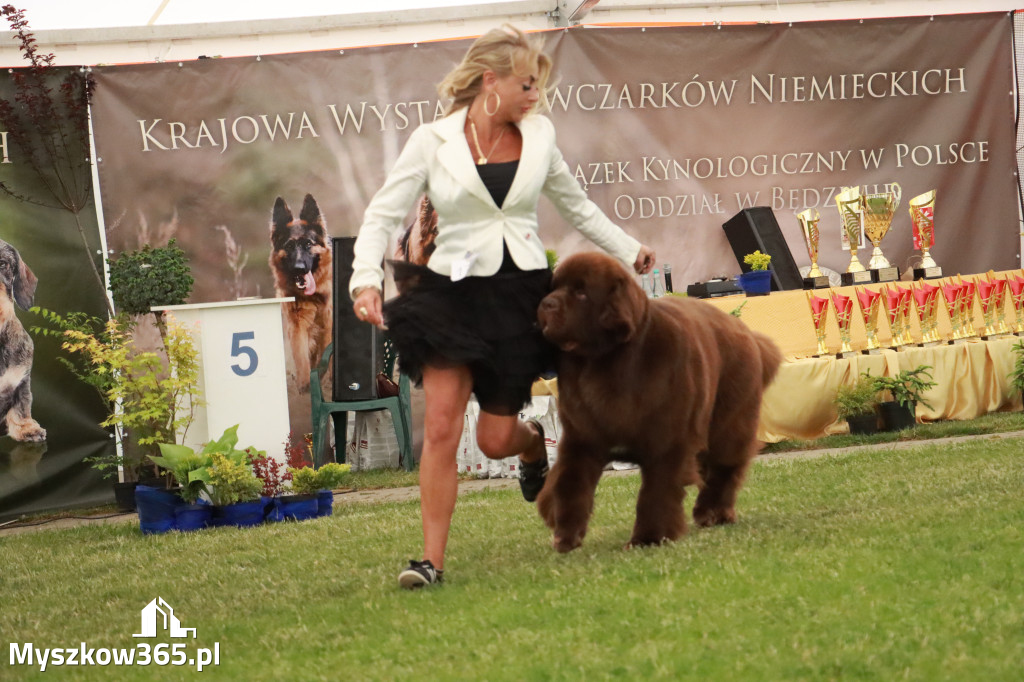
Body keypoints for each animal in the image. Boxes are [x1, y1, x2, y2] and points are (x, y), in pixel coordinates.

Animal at [536, 251, 782, 548]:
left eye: (581, 292)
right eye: (553, 288)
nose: (546, 304)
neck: (604, 363)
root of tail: (747, 333)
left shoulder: (668, 441)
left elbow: (656, 492)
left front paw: (648, 538)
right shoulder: (582, 437)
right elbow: (570, 483)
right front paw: (565, 534)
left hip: (728, 423)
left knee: (724, 470)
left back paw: (713, 512)